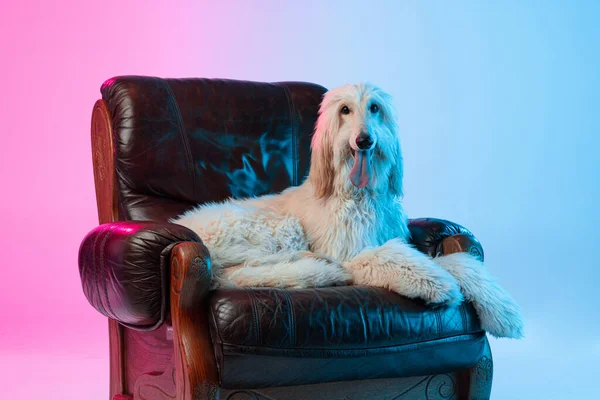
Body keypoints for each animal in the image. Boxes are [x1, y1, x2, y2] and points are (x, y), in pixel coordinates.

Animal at [171, 83, 524, 338]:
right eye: (345, 110)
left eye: (375, 108)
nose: (364, 140)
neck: (358, 195)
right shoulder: (347, 252)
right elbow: (389, 257)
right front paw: (435, 284)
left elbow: (458, 261)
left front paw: (503, 311)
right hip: (271, 228)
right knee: (241, 273)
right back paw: (324, 270)